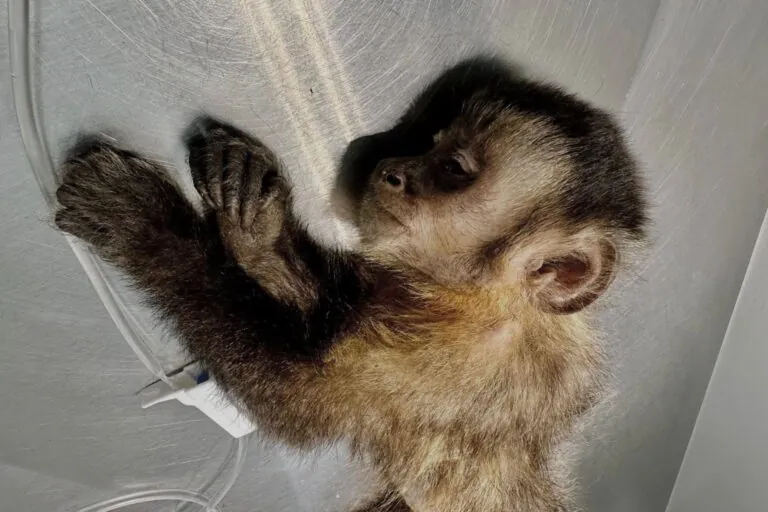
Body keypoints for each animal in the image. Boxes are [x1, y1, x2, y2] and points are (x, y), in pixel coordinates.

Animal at [54, 59, 647, 512]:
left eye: (454, 169)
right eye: (430, 146)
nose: (391, 168)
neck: (493, 301)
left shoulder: (465, 362)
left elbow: (297, 399)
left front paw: (143, 223)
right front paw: (256, 229)